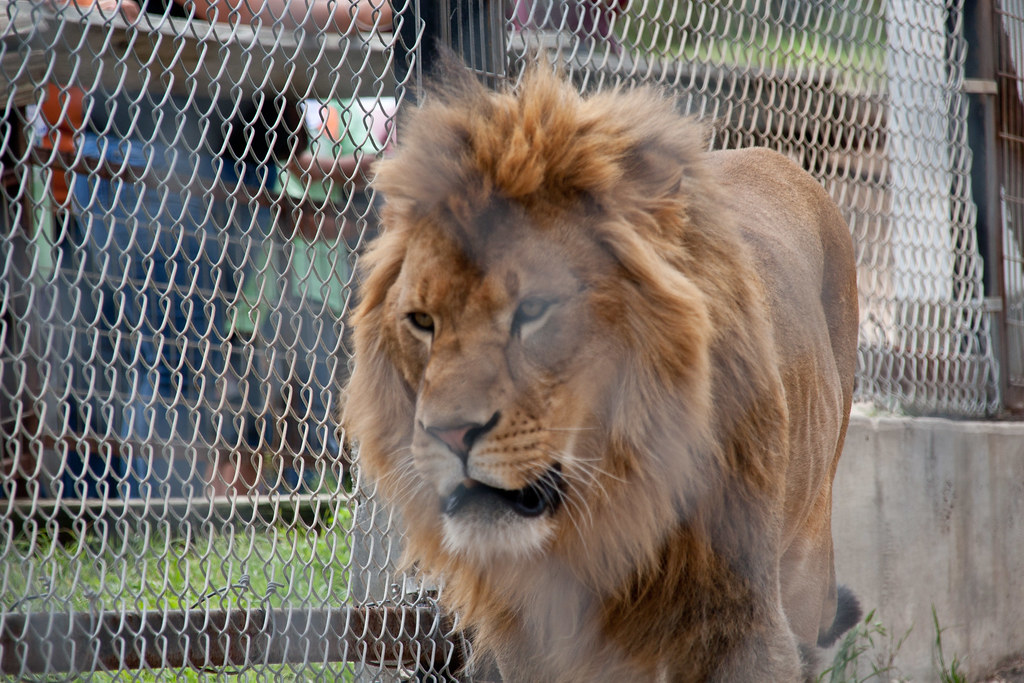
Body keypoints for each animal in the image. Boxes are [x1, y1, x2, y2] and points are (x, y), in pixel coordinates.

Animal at [346, 61, 864, 679]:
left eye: (533, 310)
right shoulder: (530, 637)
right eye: (423, 321)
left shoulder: (742, 619)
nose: (448, 433)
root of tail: (777, 159)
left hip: (807, 560)